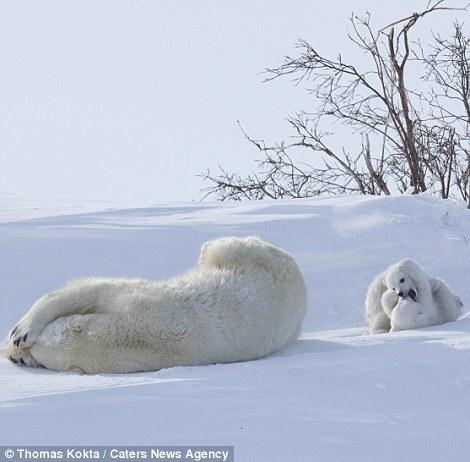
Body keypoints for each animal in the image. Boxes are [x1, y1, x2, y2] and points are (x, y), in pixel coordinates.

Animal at [3, 236, 308, 374]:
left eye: (42, 345)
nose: (19, 354)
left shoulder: (135, 303)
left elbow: (90, 290)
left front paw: (20, 334)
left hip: (254, 259)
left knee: (224, 247)